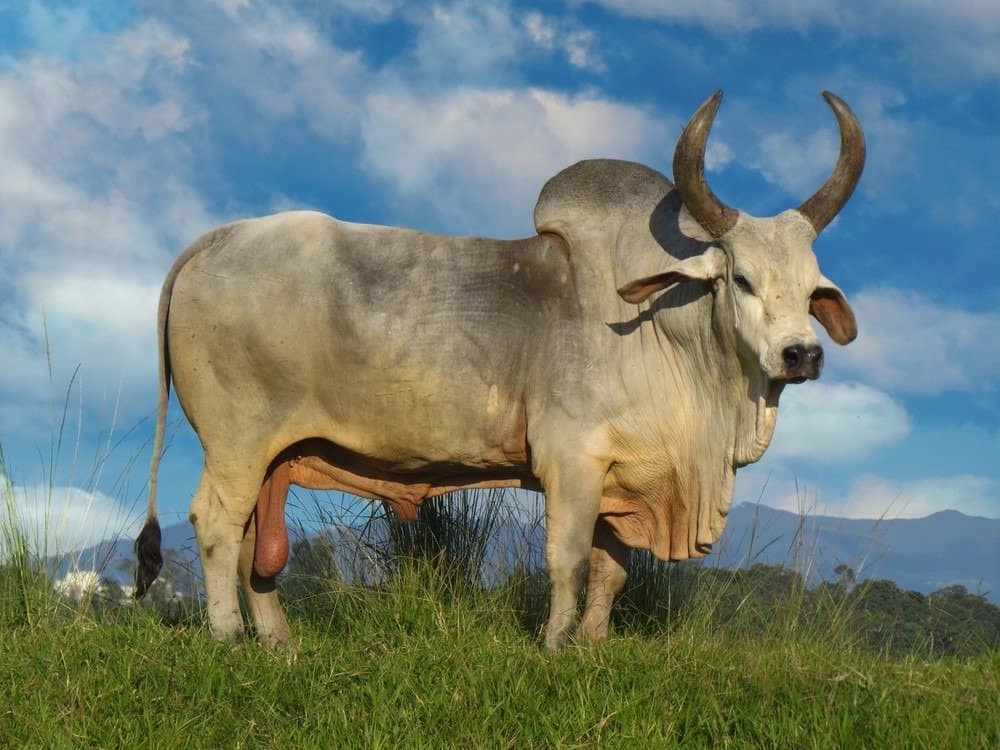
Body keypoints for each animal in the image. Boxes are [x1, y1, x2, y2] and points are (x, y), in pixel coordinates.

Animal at [137, 91, 864, 648]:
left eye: (813, 290)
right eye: (740, 279)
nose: (801, 354)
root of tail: (217, 238)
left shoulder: (623, 477)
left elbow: (611, 572)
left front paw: (592, 646)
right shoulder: (571, 462)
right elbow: (568, 563)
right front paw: (554, 646)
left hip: (272, 456)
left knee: (255, 542)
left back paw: (278, 641)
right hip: (235, 441)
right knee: (216, 525)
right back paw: (230, 637)